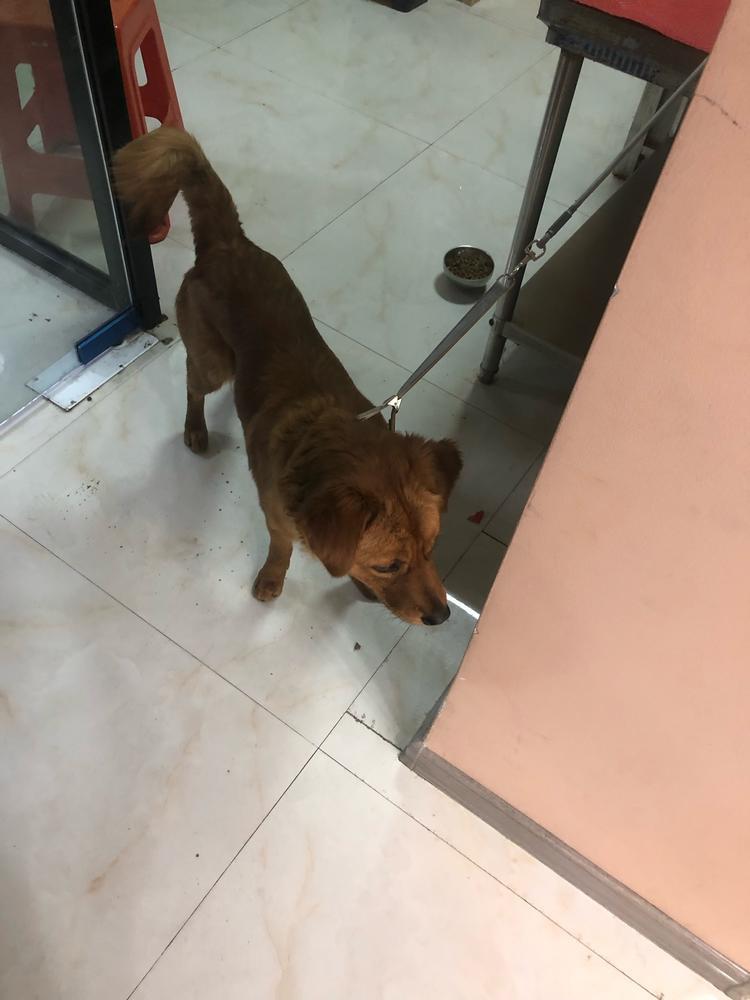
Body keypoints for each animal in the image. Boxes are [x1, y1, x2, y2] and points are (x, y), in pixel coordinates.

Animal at [113, 128, 462, 625]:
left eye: (432, 548)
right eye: (389, 565)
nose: (441, 616)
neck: (324, 445)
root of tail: (227, 242)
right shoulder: (276, 518)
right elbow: (282, 550)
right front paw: (272, 579)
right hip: (212, 362)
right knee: (193, 382)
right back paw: (196, 427)